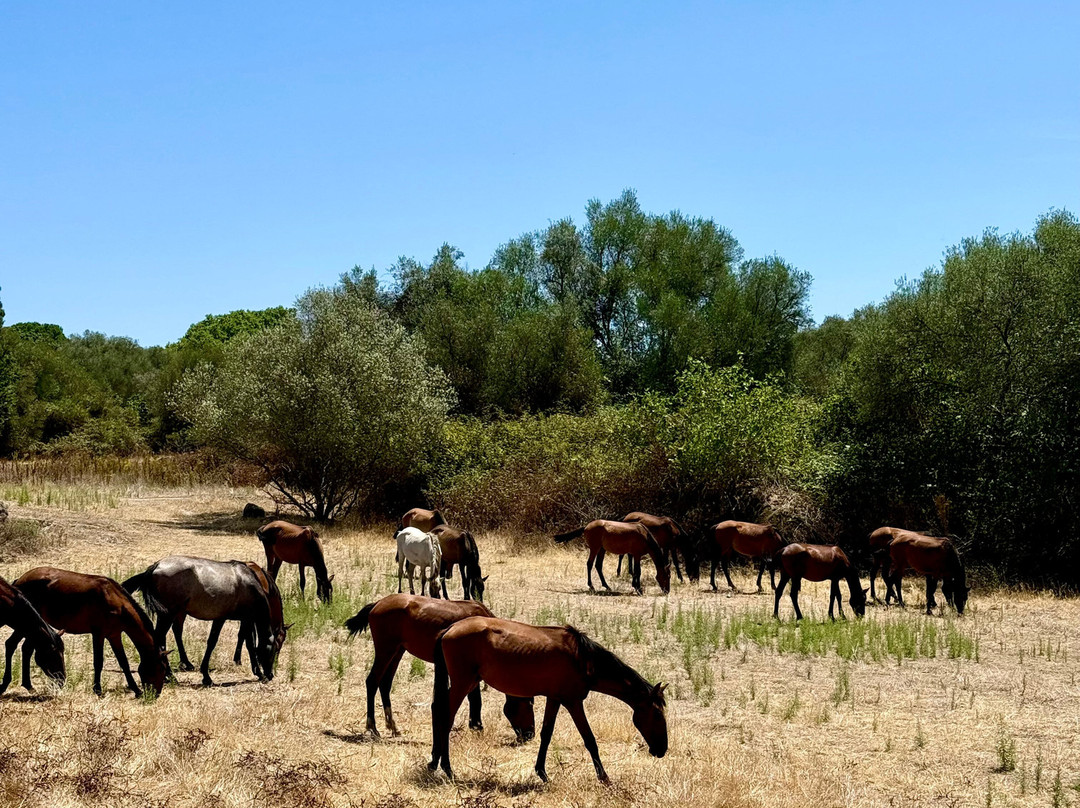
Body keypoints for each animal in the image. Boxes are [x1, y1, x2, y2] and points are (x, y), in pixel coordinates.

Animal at [12, 567, 167, 697]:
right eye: (162, 669)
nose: (156, 694)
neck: (117, 602)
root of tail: (19, 580)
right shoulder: (98, 634)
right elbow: (98, 662)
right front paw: (98, 690)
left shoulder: (114, 635)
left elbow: (124, 662)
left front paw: (136, 690)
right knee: (14, 646)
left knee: (25, 649)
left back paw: (28, 685)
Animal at [123, 556, 285, 686]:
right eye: (274, 650)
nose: (271, 674)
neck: (249, 584)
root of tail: (155, 566)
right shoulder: (238, 619)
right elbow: (223, 643)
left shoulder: (231, 619)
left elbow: (243, 643)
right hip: (168, 615)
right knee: (160, 639)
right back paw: (170, 675)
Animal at [344, 594, 534, 740]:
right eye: (529, 704)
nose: (530, 734)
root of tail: (378, 603)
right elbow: (475, 699)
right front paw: (477, 727)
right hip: (386, 651)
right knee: (372, 681)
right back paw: (372, 728)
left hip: (397, 652)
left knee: (385, 684)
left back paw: (393, 726)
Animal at [429, 617, 668, 783]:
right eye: (657, 714)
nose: (662, 749)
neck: (583, 659)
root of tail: (450, 628)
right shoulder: (573, 702)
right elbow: (589, 739)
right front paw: (604, 778)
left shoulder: (555, 699)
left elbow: (546, 734)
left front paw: (542, 773)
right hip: (462, 683)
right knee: (446, 718)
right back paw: (447, 768)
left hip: (467, 682)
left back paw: (435, 762)